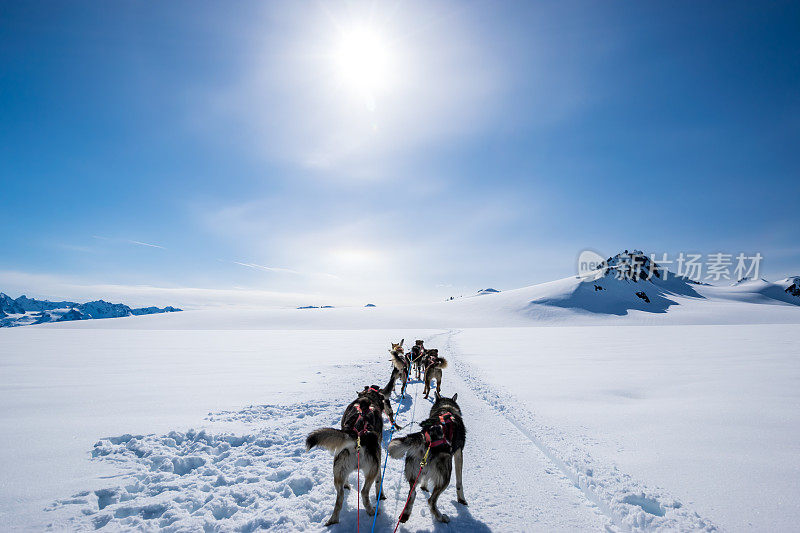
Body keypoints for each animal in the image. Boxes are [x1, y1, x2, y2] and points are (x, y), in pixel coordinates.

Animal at [390, 392, 468, 520]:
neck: (446, 408)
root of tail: (426, 438)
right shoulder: (458, 453)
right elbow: (459, 482)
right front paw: (461, 499)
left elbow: (425, 478)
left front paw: (424, 487)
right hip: (445, 477)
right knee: (431, 501)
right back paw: (441, 517)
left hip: (414, 472)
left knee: (412, 494)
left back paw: (405, 515)